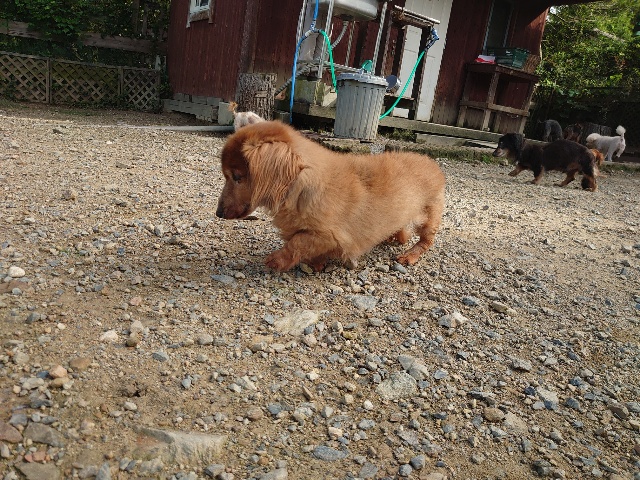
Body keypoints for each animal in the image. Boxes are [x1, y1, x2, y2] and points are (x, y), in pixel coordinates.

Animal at [215, 121, 445, 272]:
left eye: (237, 177)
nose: (218, 213)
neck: (298, 190)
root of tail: (432, 163)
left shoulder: (332, 236)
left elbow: (298, 242)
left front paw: (278, 260)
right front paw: (315, 263)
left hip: (427, 217)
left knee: (426, 241)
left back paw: (409, 256)